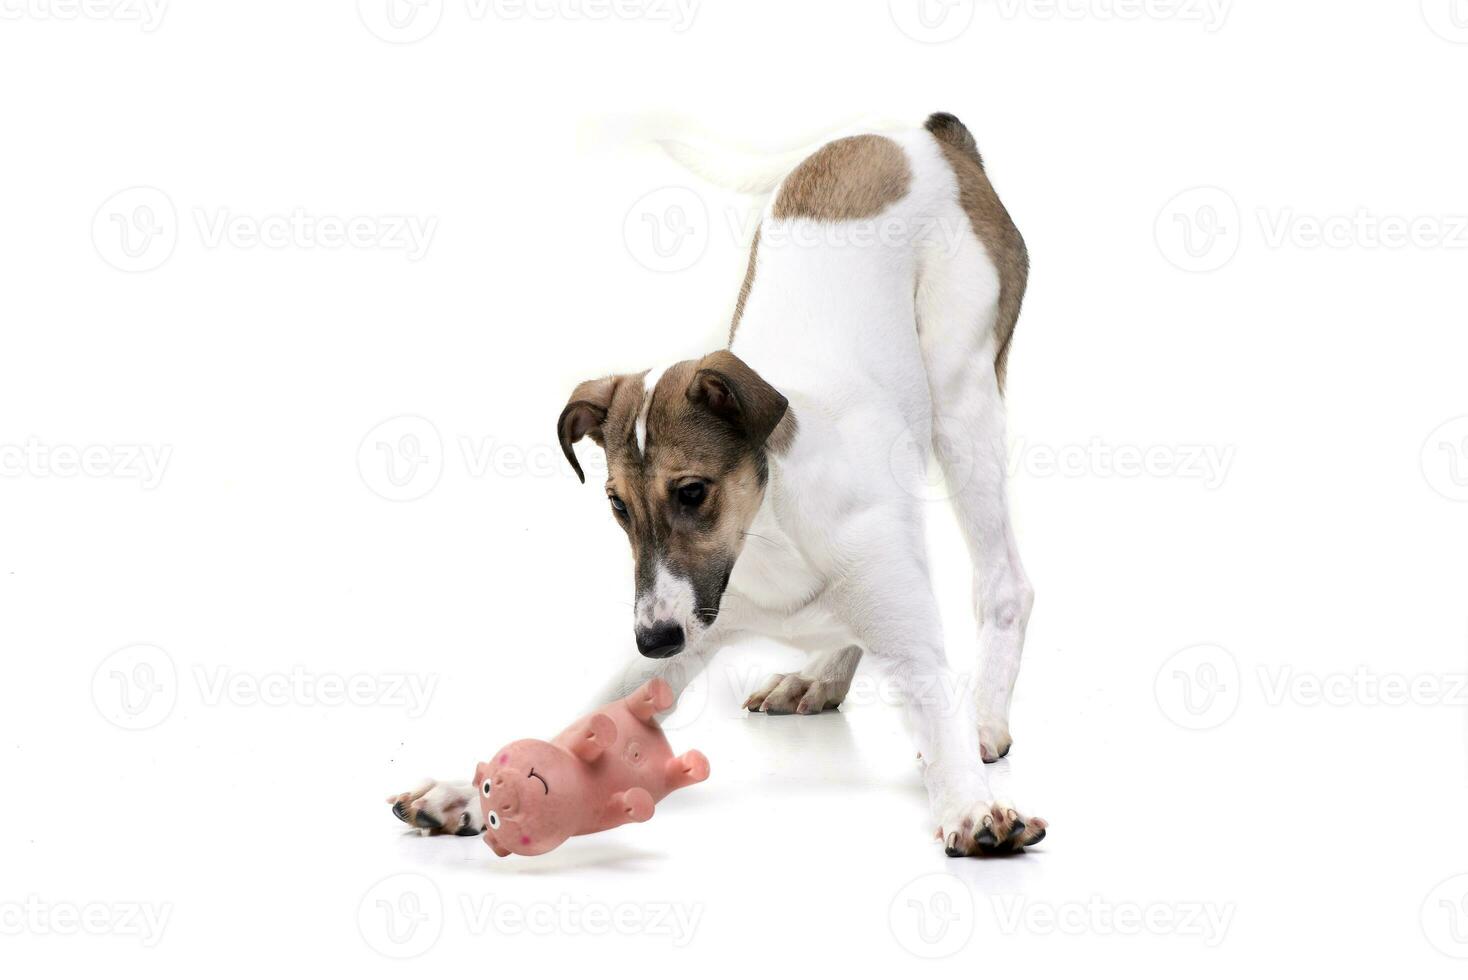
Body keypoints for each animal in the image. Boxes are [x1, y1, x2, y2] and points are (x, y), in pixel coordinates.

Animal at [393, 110, 1045, 850]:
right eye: (617, 505)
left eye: (692, 492)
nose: (652, 637)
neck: (772, 530)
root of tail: (922, 134)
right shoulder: (674, 642)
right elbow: (580, 725)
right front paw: (471, 791)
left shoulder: (905, 640)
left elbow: (937, 718)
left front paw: (971, 805)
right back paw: (819, 675)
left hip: (962, 397)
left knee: (1003, 581)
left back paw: (984, 717)